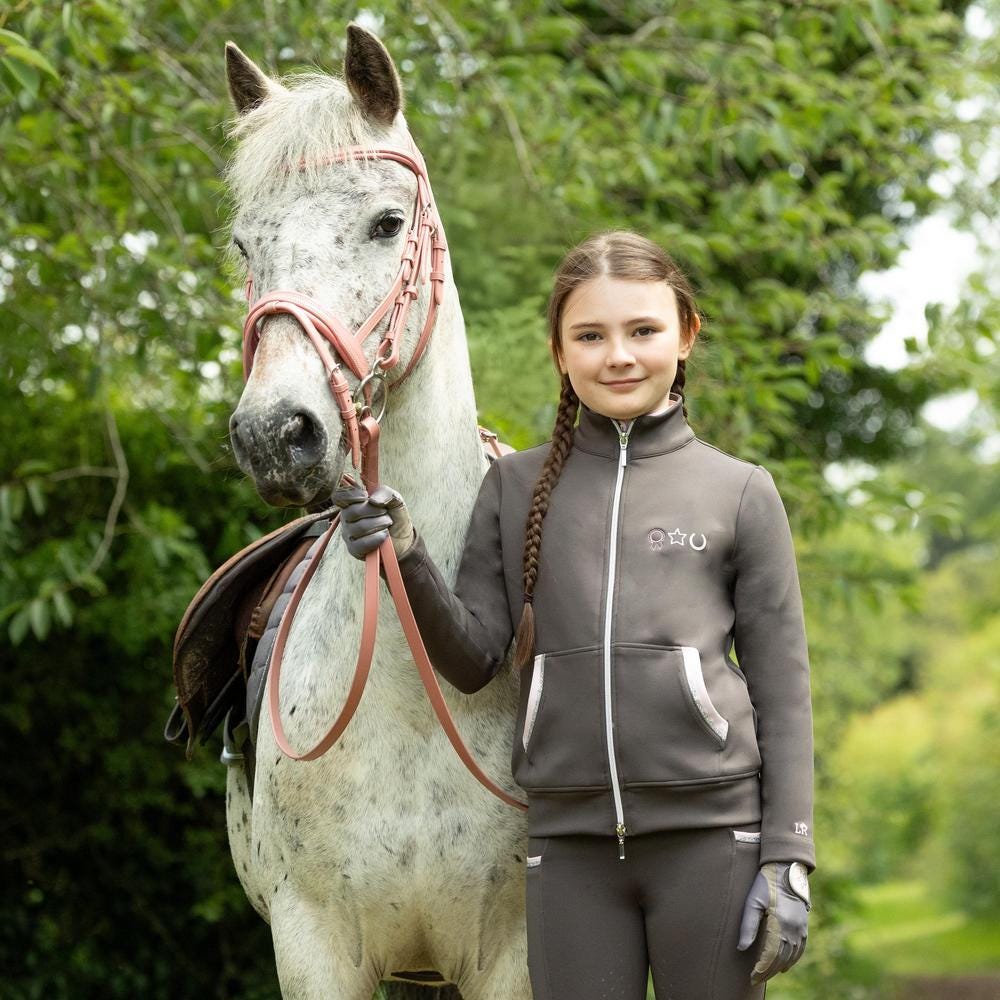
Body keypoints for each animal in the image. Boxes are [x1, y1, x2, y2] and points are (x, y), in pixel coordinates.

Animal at [219, 24, 531, 1000]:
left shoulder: (513, 952)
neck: (408, 682)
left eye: (388, 223)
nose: (274, 433)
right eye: (244, 246)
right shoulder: (313, 945)